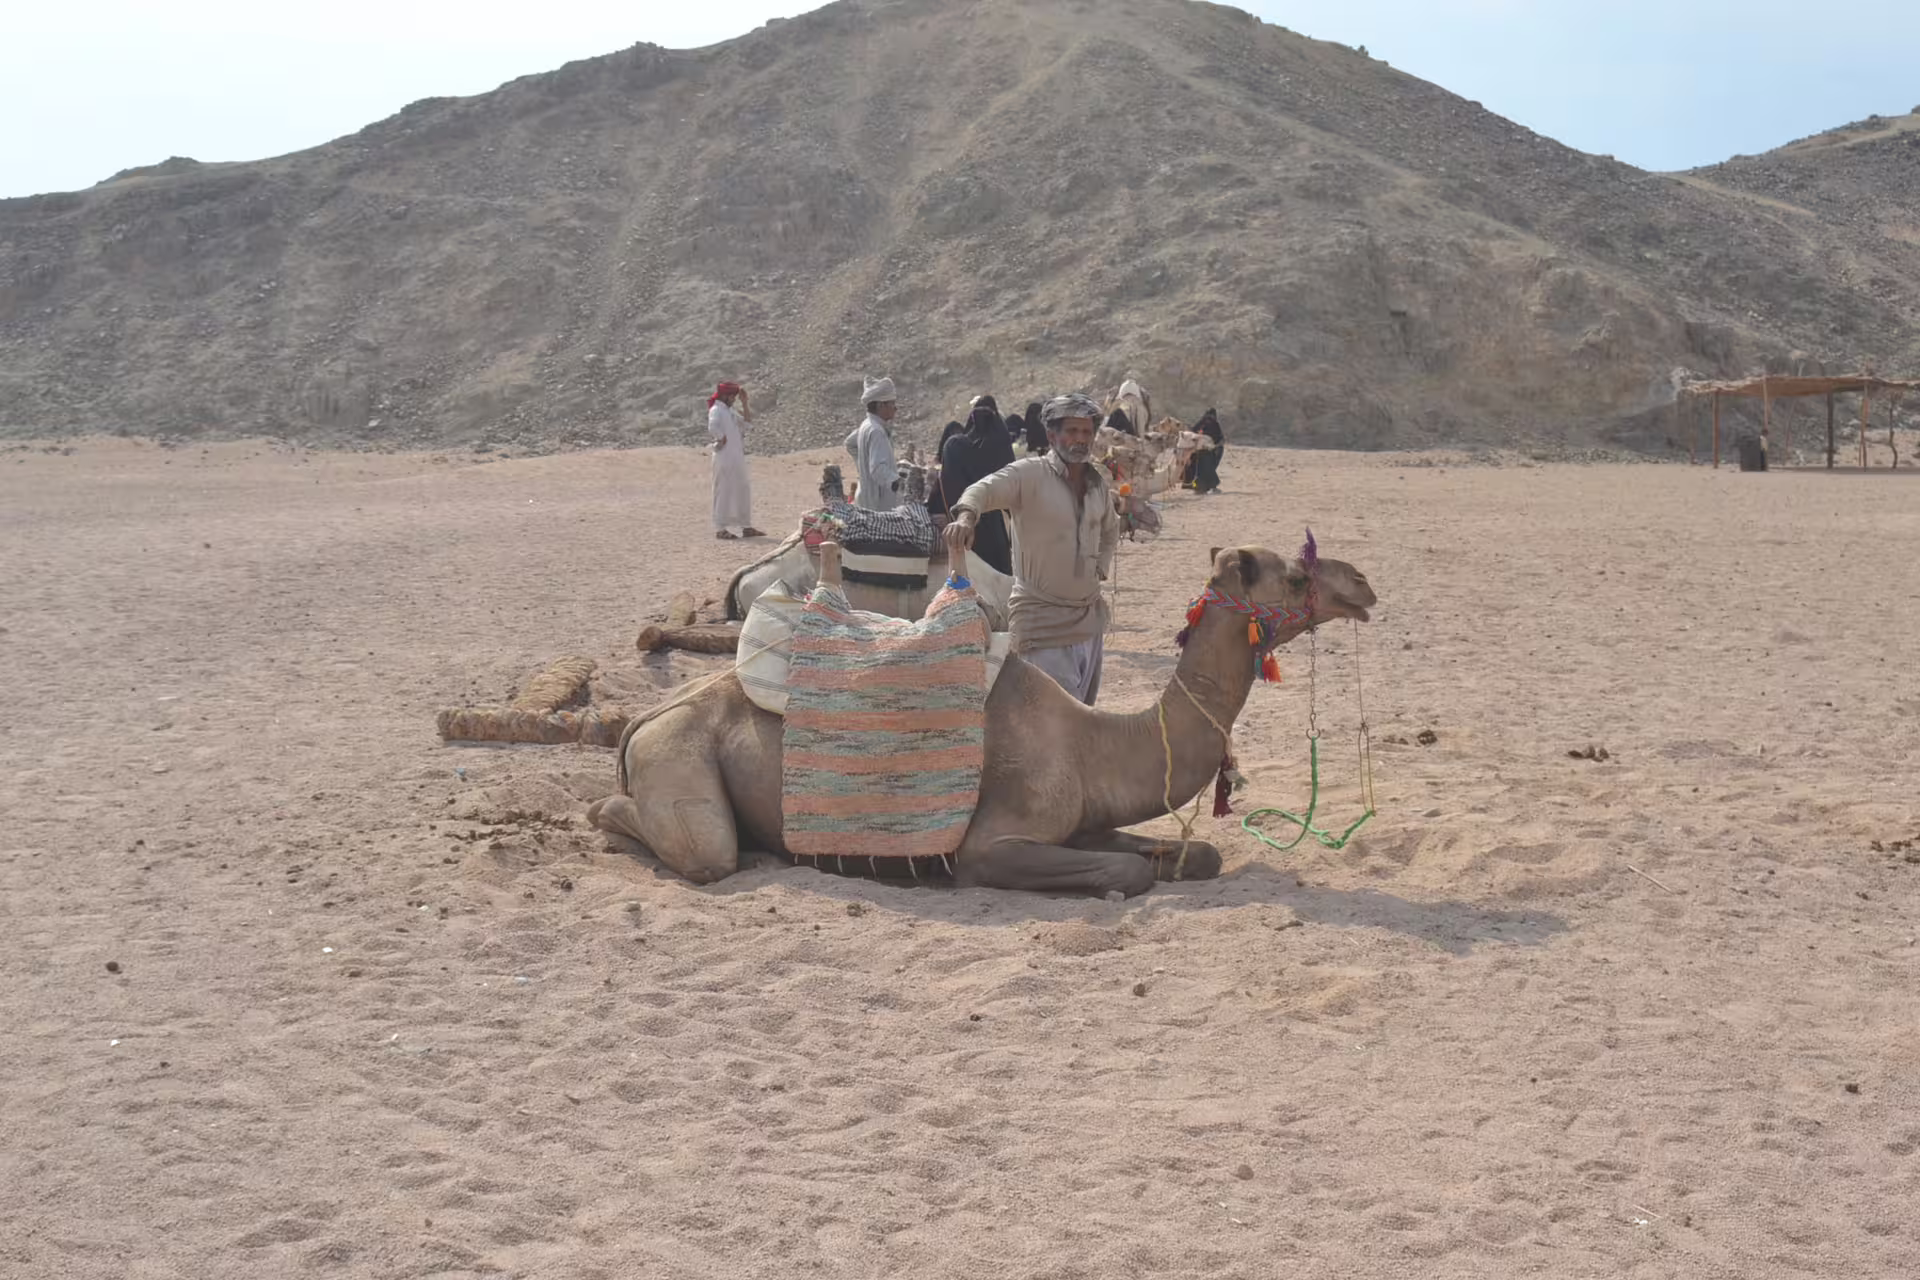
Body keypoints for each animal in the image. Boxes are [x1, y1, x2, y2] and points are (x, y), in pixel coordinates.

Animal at [591, 541, 1376, 897]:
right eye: (1295, 576)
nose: (1363, 585)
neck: (1092, 740)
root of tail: (647, 715)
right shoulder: (991, 845)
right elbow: (1128, 872)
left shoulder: (1086, 818)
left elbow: (1198, 855)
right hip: (679, 752)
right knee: (701, 848)